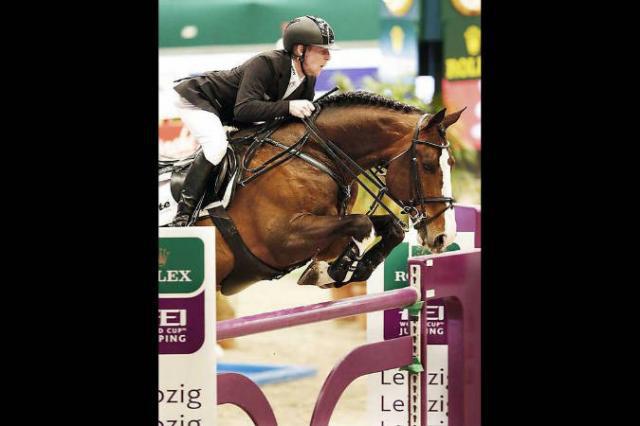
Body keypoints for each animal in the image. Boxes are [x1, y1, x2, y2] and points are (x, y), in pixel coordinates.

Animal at [192, 91, 464, 295]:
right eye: (427, 165)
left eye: (451, 162)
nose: (444, 237)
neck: (318, 154)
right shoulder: (280, 238)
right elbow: (362, 224)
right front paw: (329, 269)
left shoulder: (333, 217)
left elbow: (390, 227)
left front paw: (357, 267)